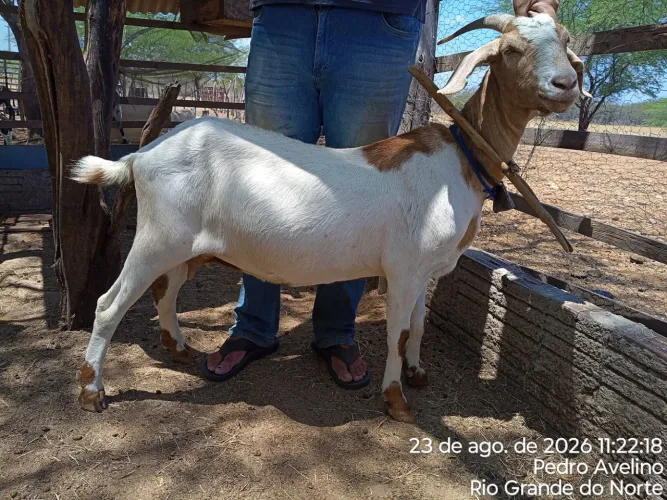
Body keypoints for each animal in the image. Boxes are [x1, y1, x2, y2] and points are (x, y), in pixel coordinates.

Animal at [72, 14, 586, 421]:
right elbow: (399, 331)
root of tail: (143, 155)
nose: (566, 86)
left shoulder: (425, 270)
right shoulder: (404, 268)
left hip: (189, 246)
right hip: (158, 238)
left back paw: (179, 350)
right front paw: (396, 400)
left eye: (564, 42)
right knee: (110, 304)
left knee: (166, 290)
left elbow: (419, 324)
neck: (461, 158)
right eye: (512, 50)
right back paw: (92, 390)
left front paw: (417, 373)